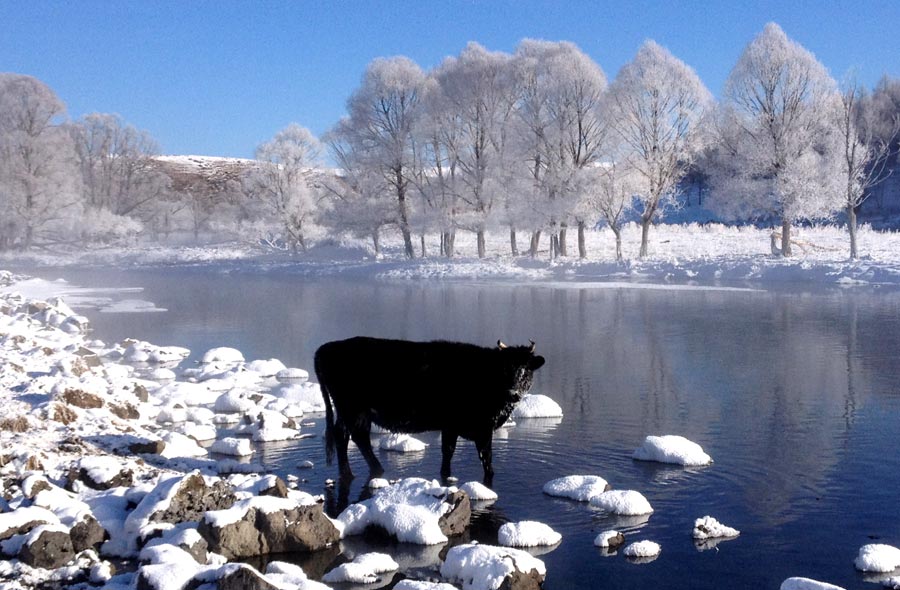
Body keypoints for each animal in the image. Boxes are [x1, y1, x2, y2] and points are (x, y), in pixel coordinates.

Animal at [312, 338, 544, 486]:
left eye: (526, 370)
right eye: (505, 368)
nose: (513, 393)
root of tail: (325, 348)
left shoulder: (453, 427)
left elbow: (448, 452)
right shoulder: (480, 429)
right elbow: (485, 458)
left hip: (348, 412)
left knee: (344, 437)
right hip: (354, 410)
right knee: (354, 437)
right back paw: (369, 471)